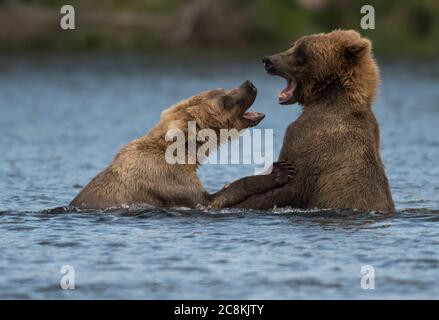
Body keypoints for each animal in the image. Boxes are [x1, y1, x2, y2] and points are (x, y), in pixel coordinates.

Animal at [70, 80, 294, 210]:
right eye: (225, 100)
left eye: (222, 88)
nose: (249, 84)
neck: (187, 151)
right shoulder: (167, 178)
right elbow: (210, 198)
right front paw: (279, 171)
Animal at [235, 30, 398, 214]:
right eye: (292, 45)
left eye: (301, 52)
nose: (268, 60)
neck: (326, 97)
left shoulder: (311, 143)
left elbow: (289, 186)